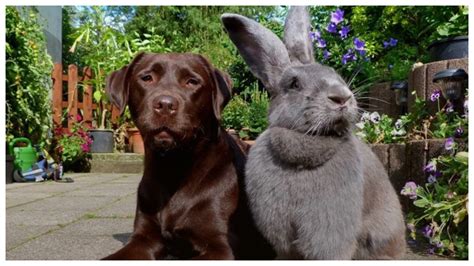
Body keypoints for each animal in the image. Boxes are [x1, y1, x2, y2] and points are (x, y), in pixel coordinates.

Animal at [103, 53, 274, 258]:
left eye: (192, 81)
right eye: (147, 78)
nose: (165, 105)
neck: (174, 166)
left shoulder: (220, 247)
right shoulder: (143, 238)